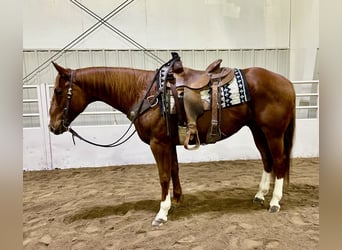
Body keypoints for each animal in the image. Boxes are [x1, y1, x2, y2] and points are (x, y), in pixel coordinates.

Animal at [48, 58, 296, 227]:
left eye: (59, 91)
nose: (53, 126)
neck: (145, 92)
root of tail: (286, 82)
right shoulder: (169, 142)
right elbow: (174, 169)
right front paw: (176, 200)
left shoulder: (158, 143)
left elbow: (163, 175)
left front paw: (162, 212)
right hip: (257, 131)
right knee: (267, 160)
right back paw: (260, 195)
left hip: (273, 133)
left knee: (280, 161)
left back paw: (275, 202)